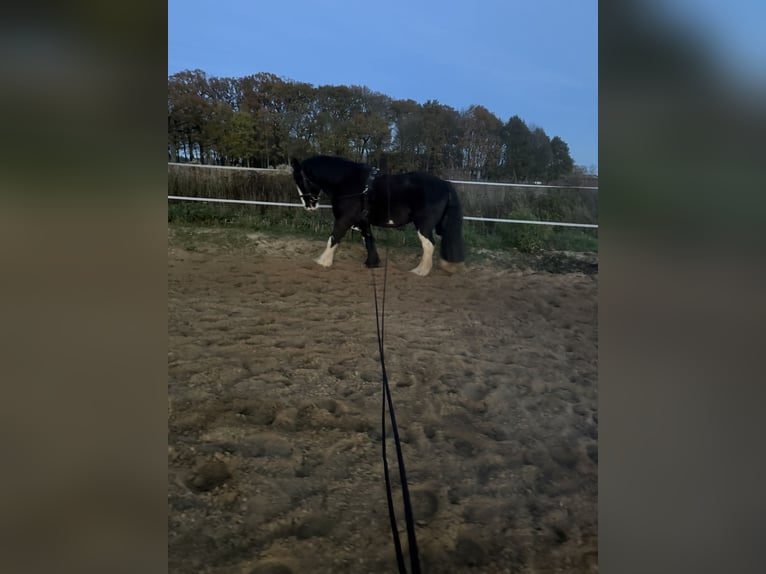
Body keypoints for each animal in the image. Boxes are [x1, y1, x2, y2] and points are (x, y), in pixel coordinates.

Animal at [291, 155, 465, 276]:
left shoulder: (343, 220)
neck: (348, 182)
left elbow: (333, 238)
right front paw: (372, 262)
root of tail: (444, 184)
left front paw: (322, 262)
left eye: (301, 180)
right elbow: (368, 240)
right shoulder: (362, 221)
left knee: (429, 245)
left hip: (423, 225)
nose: (308, 206)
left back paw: (420, 271)